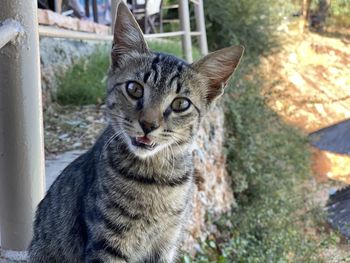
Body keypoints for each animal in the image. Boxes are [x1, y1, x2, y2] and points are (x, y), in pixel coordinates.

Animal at [28, 1, 243, 262]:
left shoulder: (167, 243)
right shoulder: (107, 243)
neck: (155, 179)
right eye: (134, 89)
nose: (148, 124)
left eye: (181, 104)